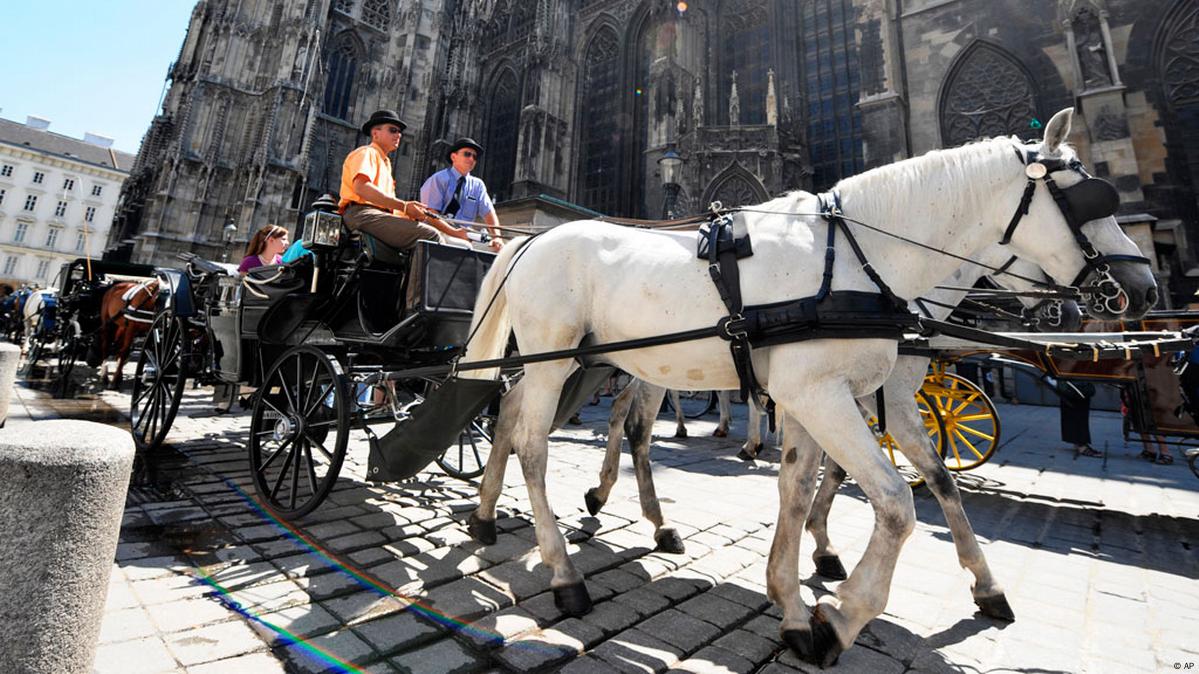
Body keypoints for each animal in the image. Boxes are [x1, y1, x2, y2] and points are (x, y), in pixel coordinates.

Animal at [455, 110, 1151, 662]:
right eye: (1088, 198)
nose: (1139, 289)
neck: (861, 259)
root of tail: (532, 239)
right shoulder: (824, 396)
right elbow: (894, 502)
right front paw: (839, 617)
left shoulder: (825, 398)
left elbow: (812, 488)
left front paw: (794, 603)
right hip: (556, 359)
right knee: (539, 443)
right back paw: (564, 572)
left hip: (575, 361)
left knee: (524, 417)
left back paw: (491, 518)